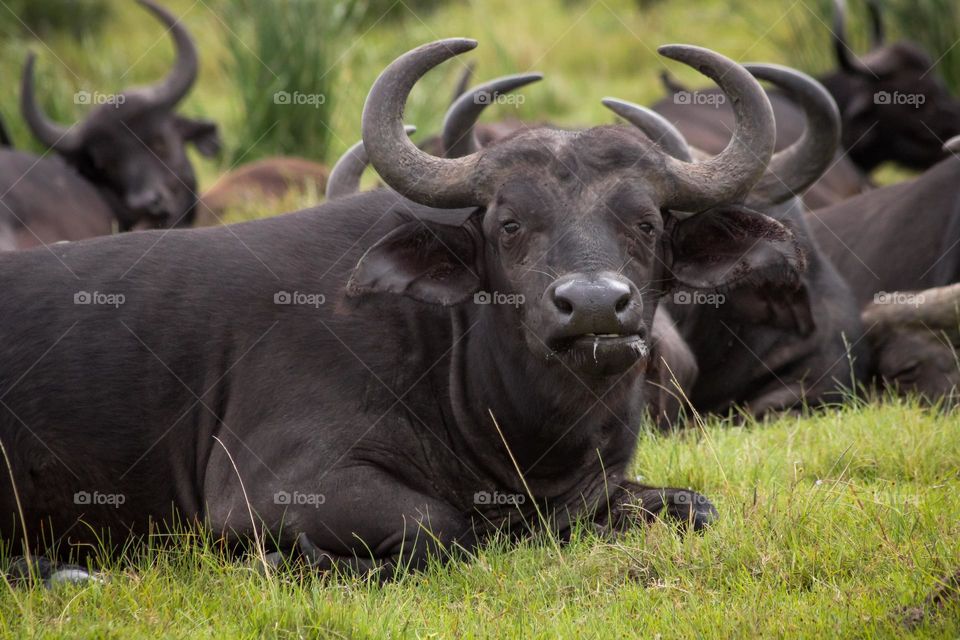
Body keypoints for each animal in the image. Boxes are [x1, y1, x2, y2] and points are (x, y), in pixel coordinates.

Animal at [1, 38, 804, 580]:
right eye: (509, 224)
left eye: (646, 223)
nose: (594, 306)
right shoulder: (272, 490)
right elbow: (441, 528)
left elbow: (694, 506)